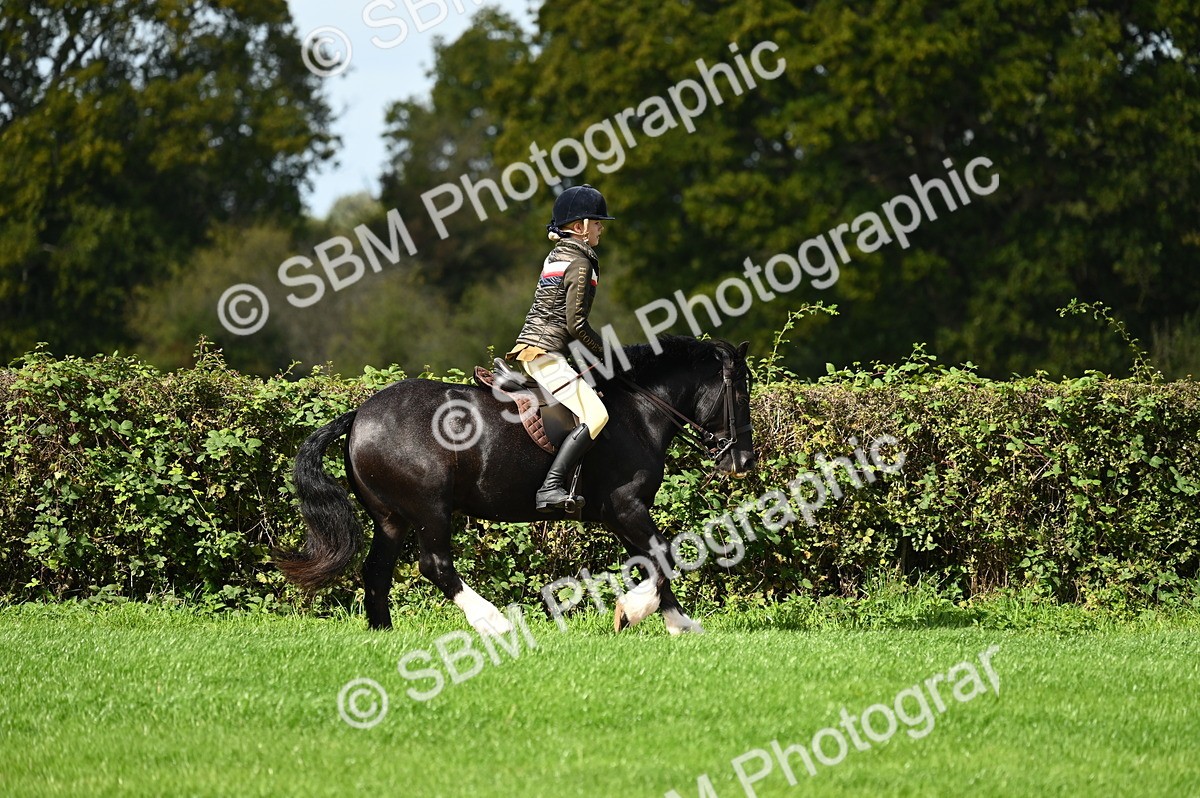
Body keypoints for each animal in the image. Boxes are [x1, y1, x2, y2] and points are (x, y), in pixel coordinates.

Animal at [274, 336, 757, 635]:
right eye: (740, 393)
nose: (744, 462)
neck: (639, 411)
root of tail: (360, 414)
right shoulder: (627, 506)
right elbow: (663, 557)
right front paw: (632, 613)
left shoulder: (620, 515)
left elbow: (654, 562)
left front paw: (679, 624)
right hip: (430, 508)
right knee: (435, 565)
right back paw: (495, 623)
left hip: (390, 517)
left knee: (376, 570)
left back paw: (382, 632)